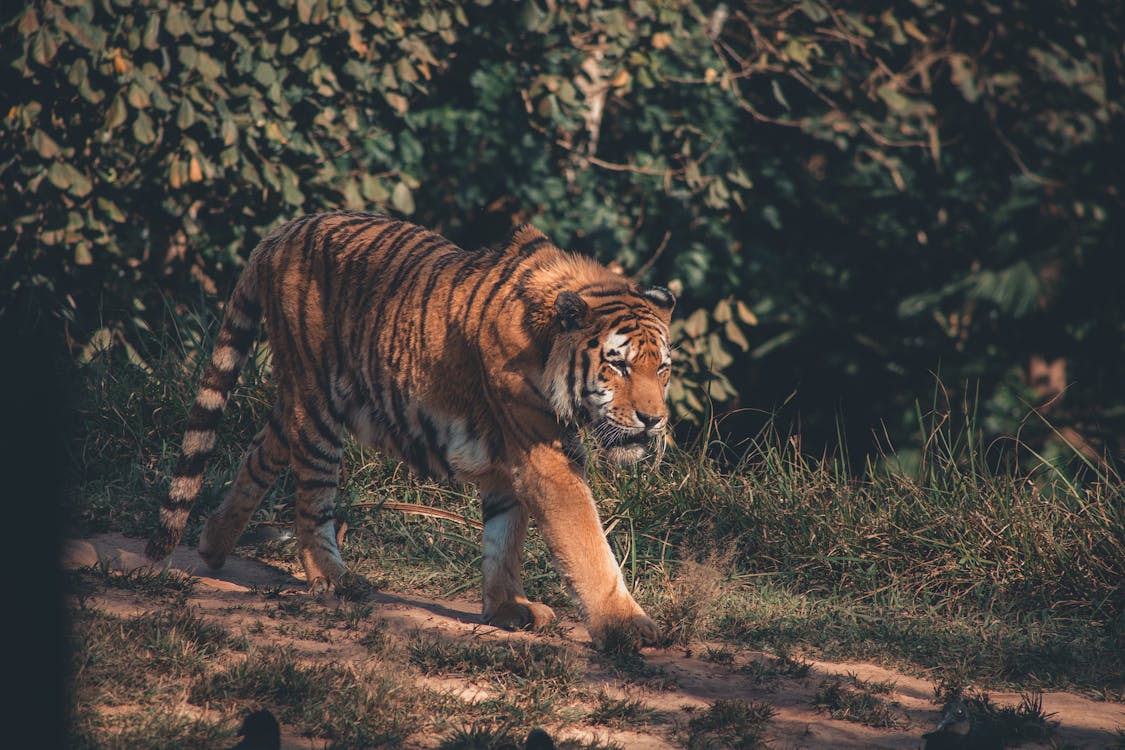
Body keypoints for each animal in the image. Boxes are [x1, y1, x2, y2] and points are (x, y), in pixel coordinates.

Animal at [149, 211, 675, 647]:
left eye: (663, 369)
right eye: (619, 365)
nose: (654, 420)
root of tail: (284, 230)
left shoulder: (509, 459)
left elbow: (504, 536)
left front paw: (508, 608)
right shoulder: (543, 456)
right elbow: (586, 542)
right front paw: (626, 627)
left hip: (300, 401)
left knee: (261, 452)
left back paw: (213, 544)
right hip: (318, 407)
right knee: (312, 501)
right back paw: (334, 578)